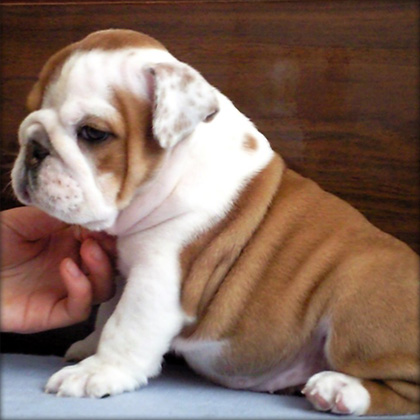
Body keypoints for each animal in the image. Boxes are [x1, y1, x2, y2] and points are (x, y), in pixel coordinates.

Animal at [11, 29, 418, 416]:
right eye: (29, 111)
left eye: (93, 133)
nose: (34, 147)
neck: (176, 169)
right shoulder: (125, 271)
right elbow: (106, 314)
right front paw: (88, 349)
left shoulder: (159, 275)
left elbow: (125, 325)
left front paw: (97, 372)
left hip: (357, 298)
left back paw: (341, 389)